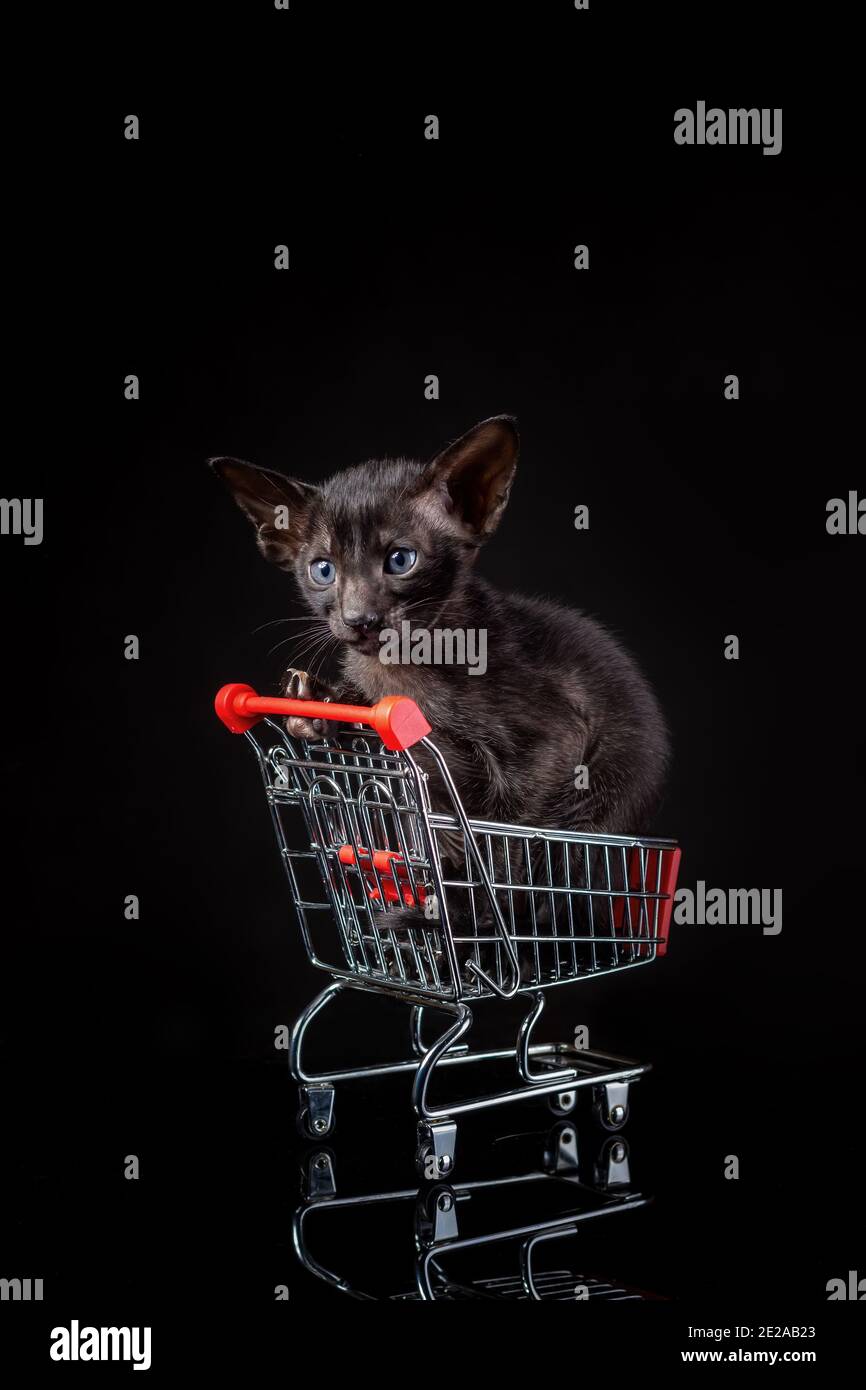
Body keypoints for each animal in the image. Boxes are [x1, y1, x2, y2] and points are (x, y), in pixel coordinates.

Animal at [209, 414, 670, 834]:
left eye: (401, 560)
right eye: (323, 570)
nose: (359, 618)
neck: (405, 668)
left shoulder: (557, 741)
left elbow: (517, 833)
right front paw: (312, 705)